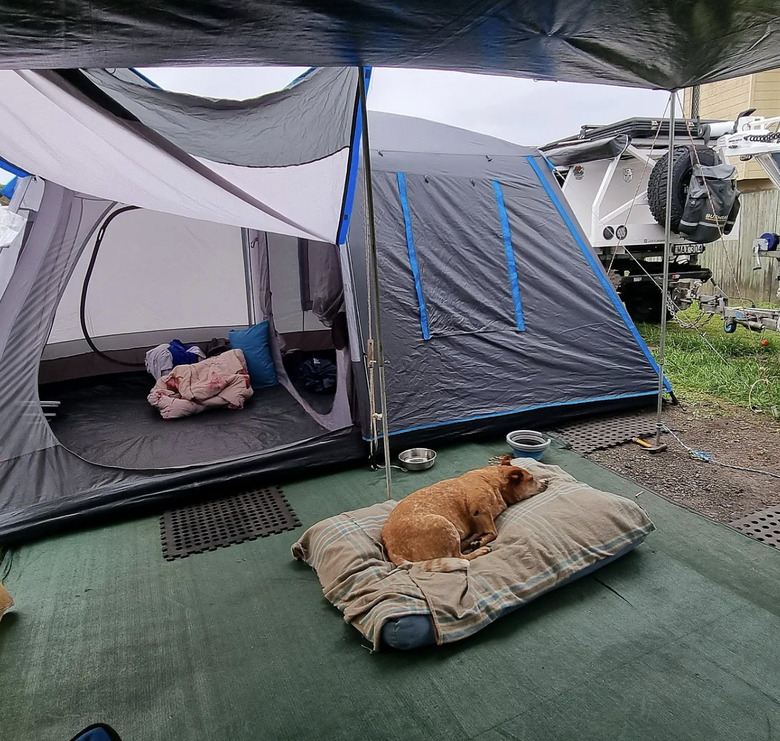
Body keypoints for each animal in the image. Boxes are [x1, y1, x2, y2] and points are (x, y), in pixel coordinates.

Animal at [380, 456, 544, 568]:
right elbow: (494, 532)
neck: (493, 480)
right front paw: (482, 541)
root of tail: (392, 550)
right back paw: (479, 549)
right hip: (445, 525)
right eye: (531, 479)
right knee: (460, 557)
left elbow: (484, 530)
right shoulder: (480, 510)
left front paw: (478, 538)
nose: (546, 482)